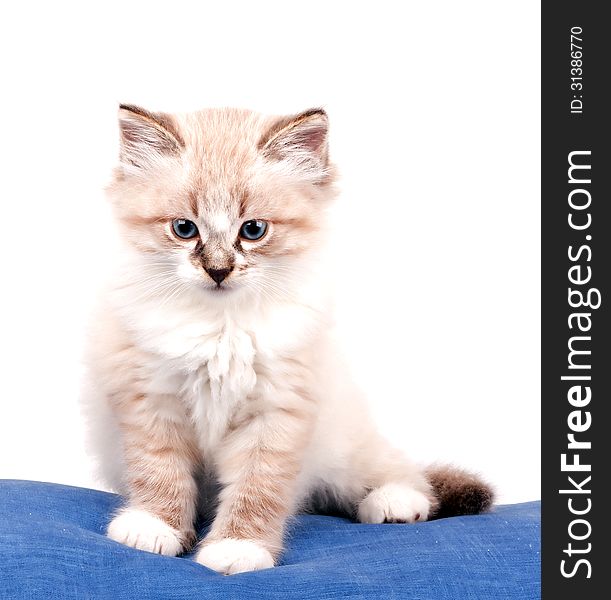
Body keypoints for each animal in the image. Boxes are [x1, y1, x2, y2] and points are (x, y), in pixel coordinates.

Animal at [82, 104, 492, 576]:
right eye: (184, 229)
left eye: (253, 230)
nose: (218, 271)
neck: (221, 327)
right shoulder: (152, 402)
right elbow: (160, 472)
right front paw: (155, 527)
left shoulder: (276, 411)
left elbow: (255, 490)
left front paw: (237, 549)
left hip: (346, 448)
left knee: (398, 473)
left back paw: (395, 503)